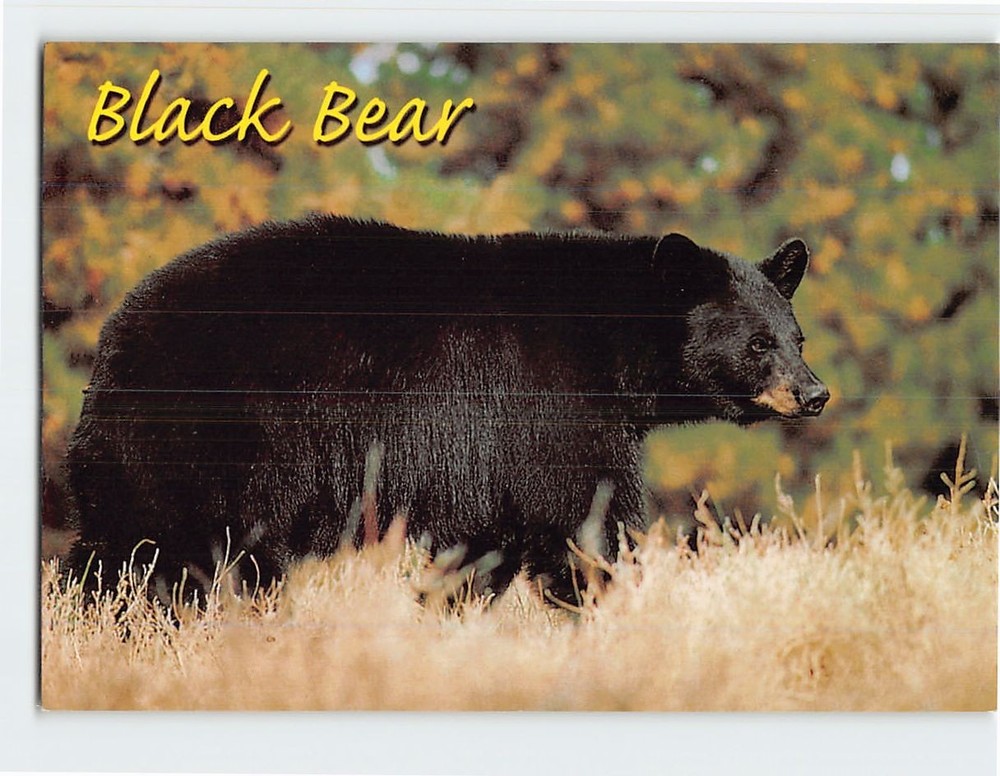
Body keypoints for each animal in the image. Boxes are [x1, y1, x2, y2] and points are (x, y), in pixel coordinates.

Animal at [65, 215, 828, 604]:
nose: (814, 392)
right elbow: (580, 513)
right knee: (172, 543)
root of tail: (117, 334)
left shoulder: (486, 456)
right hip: (214, 432)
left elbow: (488, 537)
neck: (609, 341)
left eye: (796, 336)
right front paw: (599, 600)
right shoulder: (548, 402)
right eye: (758, 343)